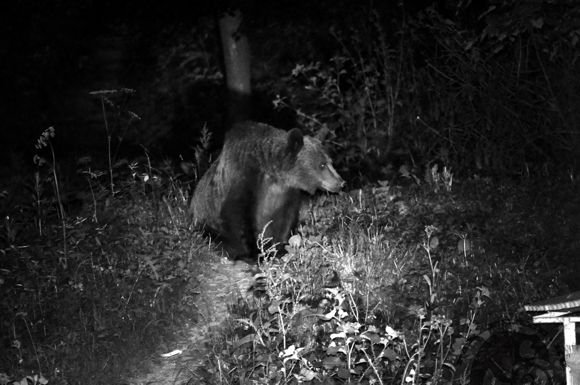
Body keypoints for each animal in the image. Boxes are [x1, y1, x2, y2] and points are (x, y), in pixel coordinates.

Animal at [190, 120, 344, 258]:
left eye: (330, 161)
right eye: (322, 165)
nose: (341, 182)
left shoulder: (287, 194)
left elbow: (286, 219)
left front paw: (279, 248)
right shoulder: (242, 179)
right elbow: (237, 216)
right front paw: (252, 251)